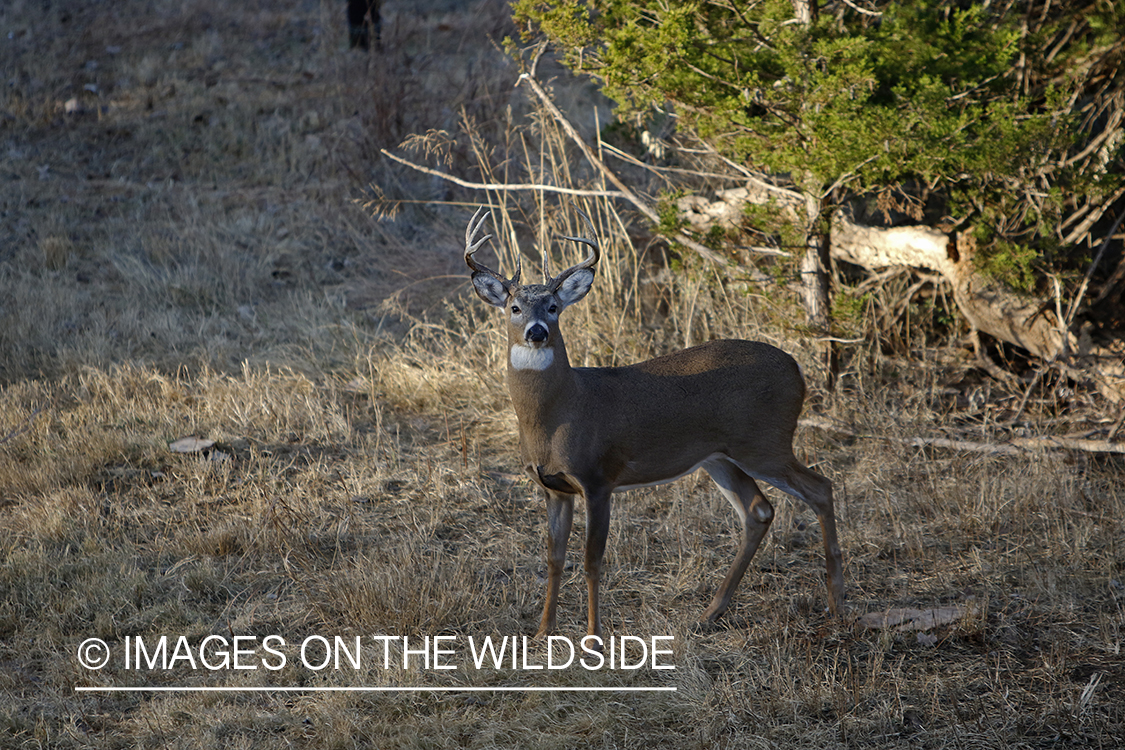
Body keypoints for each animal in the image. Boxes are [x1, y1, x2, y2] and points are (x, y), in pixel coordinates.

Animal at [465, 208, 846, 643]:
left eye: (553, 307)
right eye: (514, 307)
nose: (536, 332)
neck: (560, 413)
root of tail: (797, 369)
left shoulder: (598, 477)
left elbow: (592, 560)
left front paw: (594, 637)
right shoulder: (554, 487)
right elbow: (553, 557)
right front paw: (544, 632)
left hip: (765, 442)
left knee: (821, 488)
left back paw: (836, 604)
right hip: (720, 457)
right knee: (759, 510)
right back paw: (710, 613)